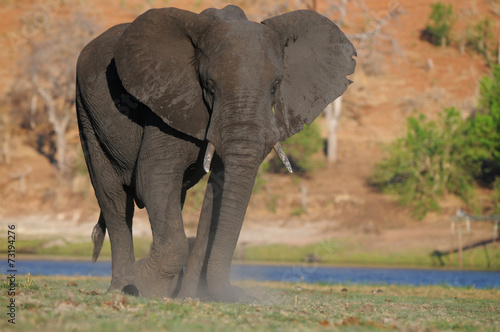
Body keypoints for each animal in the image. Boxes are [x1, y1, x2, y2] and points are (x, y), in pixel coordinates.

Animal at [75, 5, 356, 302]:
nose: (243, 296)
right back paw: (123, 287)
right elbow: (154, 177)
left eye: (275, 86)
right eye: (209, 85)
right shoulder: (166, 103)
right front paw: (144, 285)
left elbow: (217, 191)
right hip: (86, 113)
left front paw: (192, 296)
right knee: (114, 199)